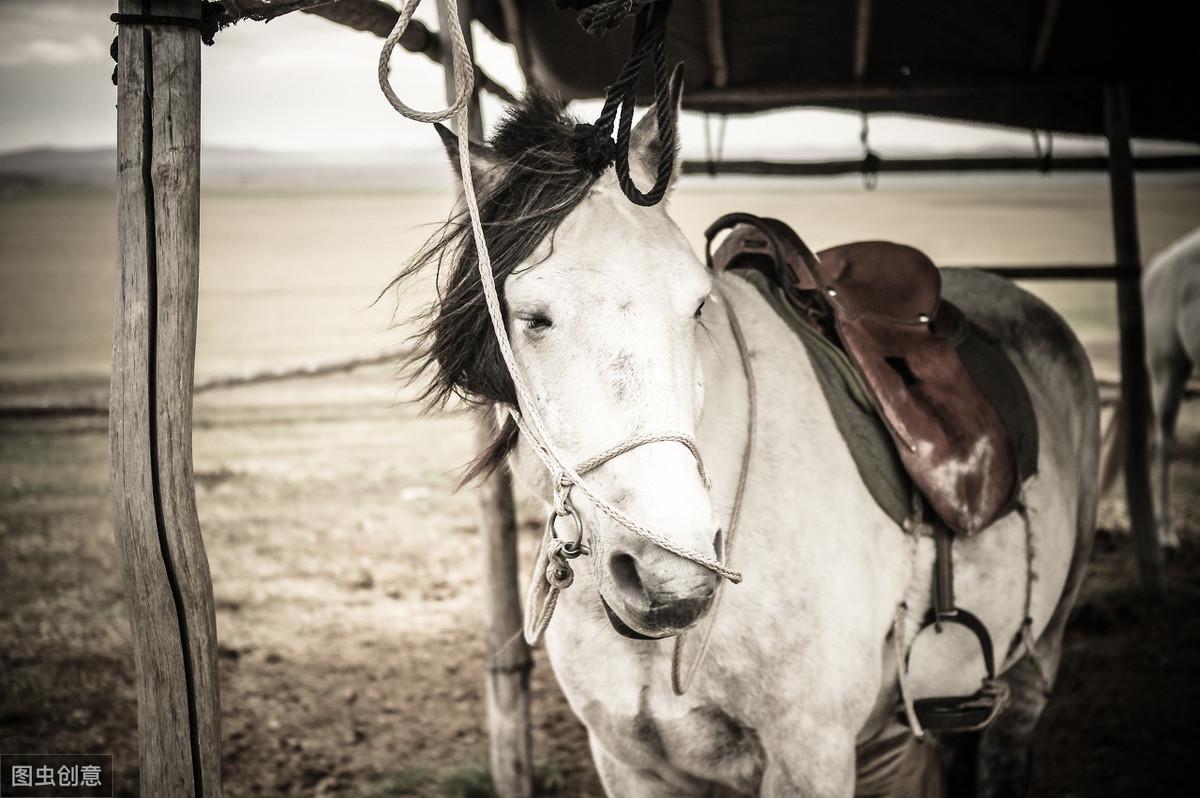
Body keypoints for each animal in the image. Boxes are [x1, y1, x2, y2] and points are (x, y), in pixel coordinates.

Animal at [403, 96, 1099, 792]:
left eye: (696, 306)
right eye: (533, 317)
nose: (671, 575)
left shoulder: (811, 754)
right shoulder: (627, 762)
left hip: (1037, 660)